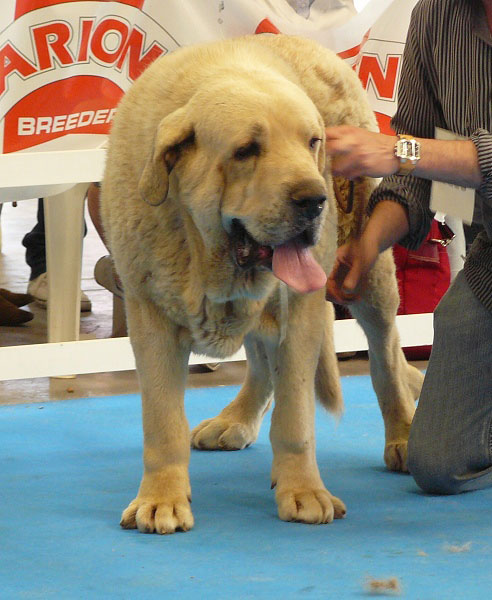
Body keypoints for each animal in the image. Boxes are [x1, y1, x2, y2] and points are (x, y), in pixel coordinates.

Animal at [102, 34, 424, 536]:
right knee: (258, 360)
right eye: (246, 150)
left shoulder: (301, 313)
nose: (315, 199)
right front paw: (161, 498)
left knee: (385, 354)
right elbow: (162, 421)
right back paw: (236, 419)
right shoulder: (150, 314)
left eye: (312, 142)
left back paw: (403, 435)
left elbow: (296, 418)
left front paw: (304, 490)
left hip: (369, 277)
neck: (204, 251)